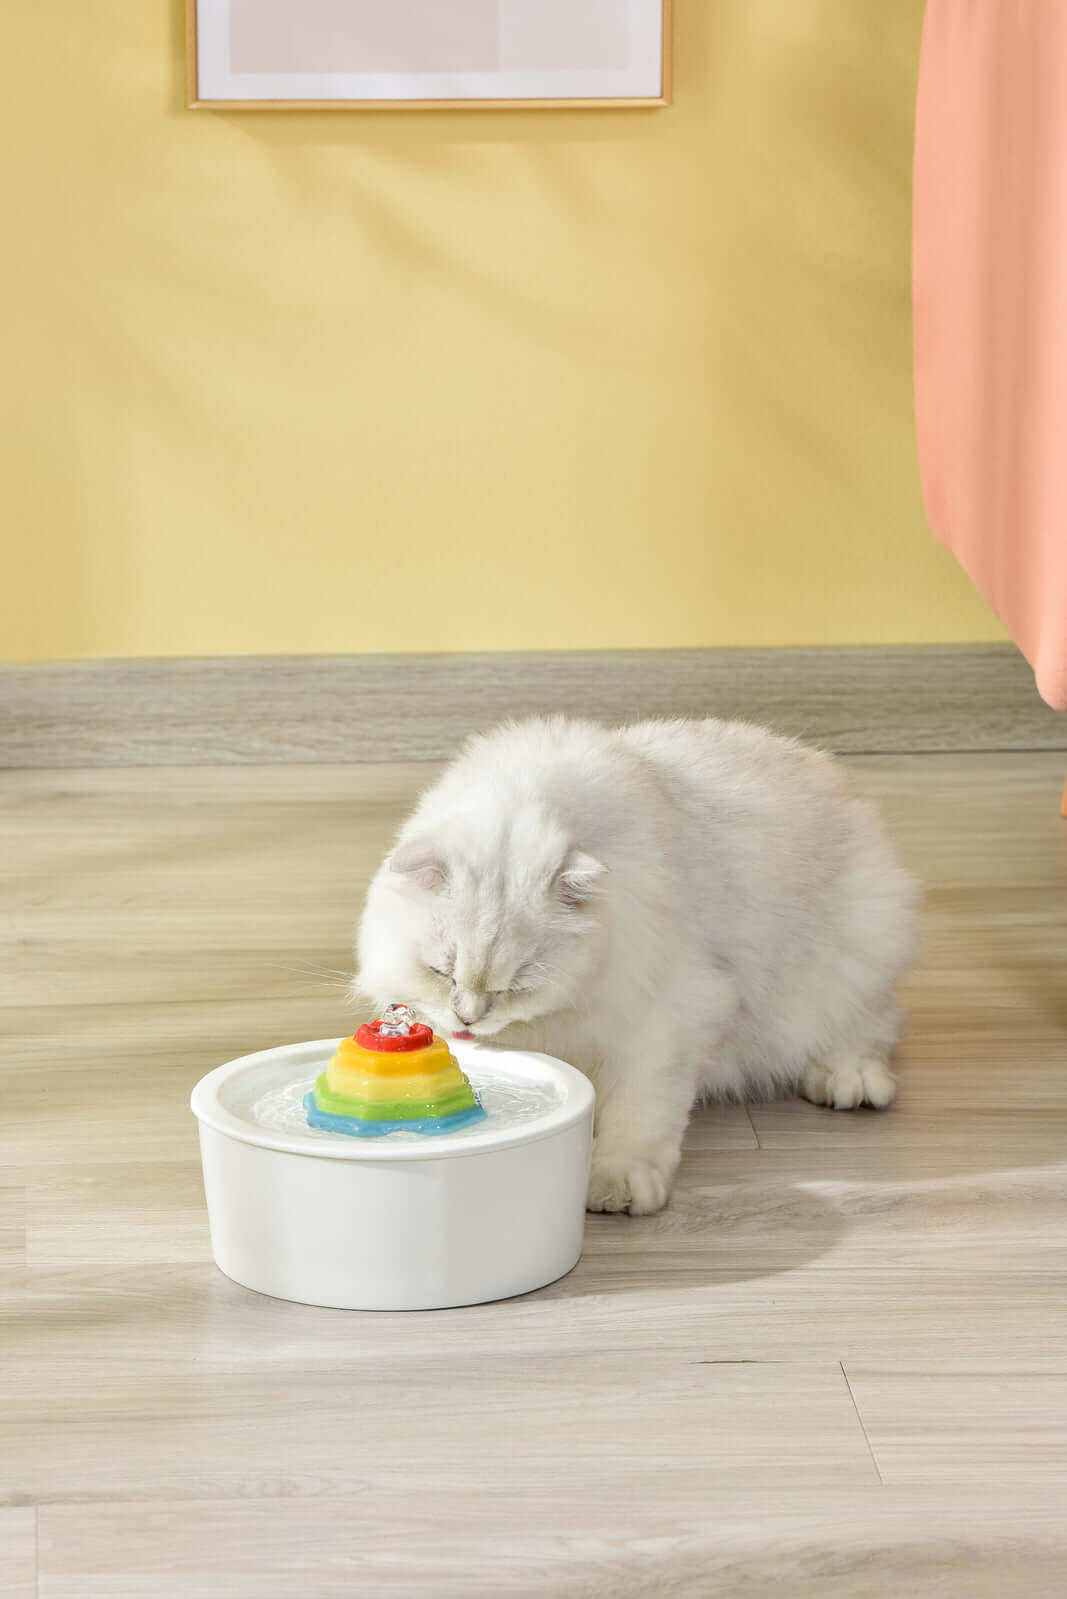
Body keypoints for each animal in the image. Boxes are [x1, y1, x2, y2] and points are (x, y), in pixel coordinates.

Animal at [356, 719, 921, 1215]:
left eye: (517, 985)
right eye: (442, 973)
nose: (468, 1018)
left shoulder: (672, 1015)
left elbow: (640, 1112)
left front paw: (616, 1187)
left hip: (856, 956)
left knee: (873, 1026)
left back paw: (849, 1081)